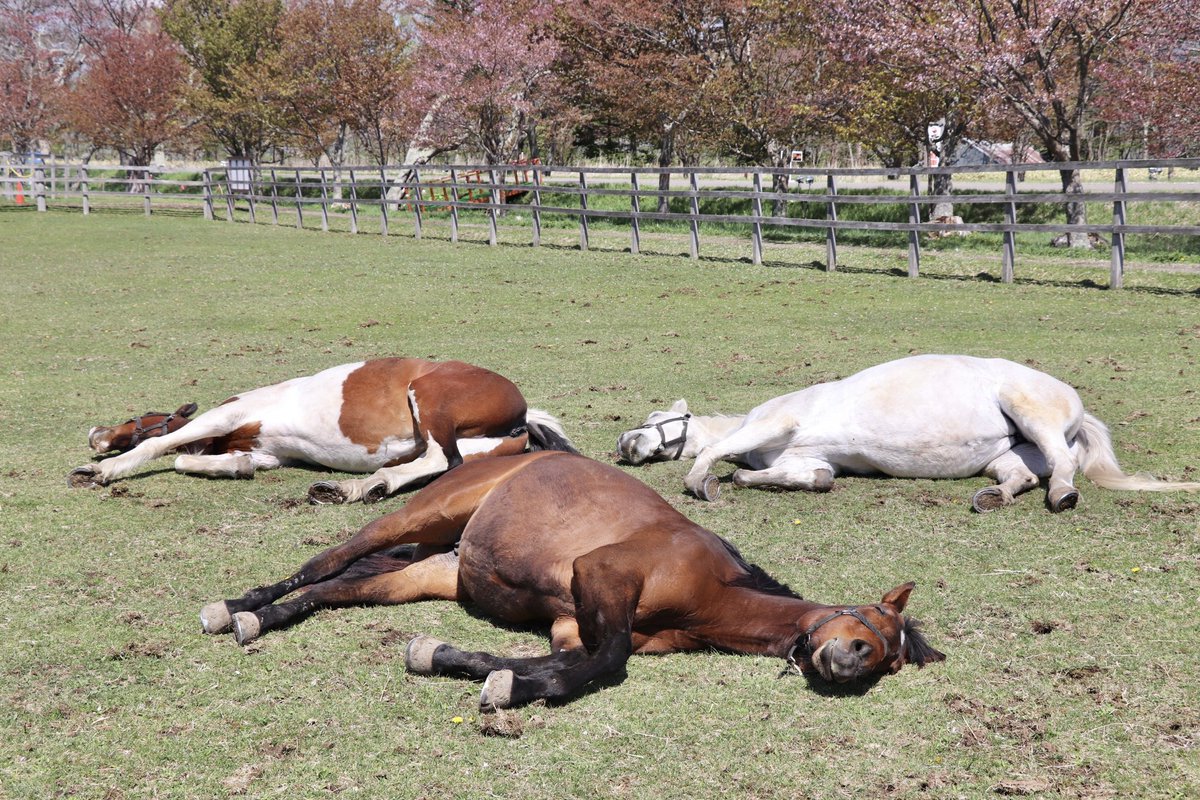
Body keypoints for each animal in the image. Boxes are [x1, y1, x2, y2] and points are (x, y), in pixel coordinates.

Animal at [70, 359, 576, 503]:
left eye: (135, 418)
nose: (95, 432)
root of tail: (522, 412)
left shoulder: (225, 417)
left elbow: (166, 446)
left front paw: (105, 470)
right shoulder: (268, 454)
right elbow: (198, 458)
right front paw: (235, 468)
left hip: (429, 398)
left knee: (437, 458)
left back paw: (361, 487)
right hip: (477, 449)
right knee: (435, 466)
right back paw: (357, 488)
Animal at [199, 453, 945, 710]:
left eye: (891, 659)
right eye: (872, 623)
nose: (851, 662)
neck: (713, 591)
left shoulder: (568, 626)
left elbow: (567, 665)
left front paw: (460, 663)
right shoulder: (602, 575)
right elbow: (609, 662)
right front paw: (503, 686)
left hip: (433, 572)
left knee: (335, 588)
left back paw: (262, 620)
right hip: (422, 514)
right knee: (324, 563)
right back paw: (236, 607)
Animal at [619, 355, 1200, 513]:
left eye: (653, 418)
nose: (625, 445)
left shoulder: (776, 422)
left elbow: (716, 451)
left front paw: (702, 482)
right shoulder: (810, 463)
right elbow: (812, 478)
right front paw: (737, 481)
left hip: (1031, 412)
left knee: (1061, 466)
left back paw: (1063, 495)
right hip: (1010, 453)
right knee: (1022, 476)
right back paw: (994, 497)